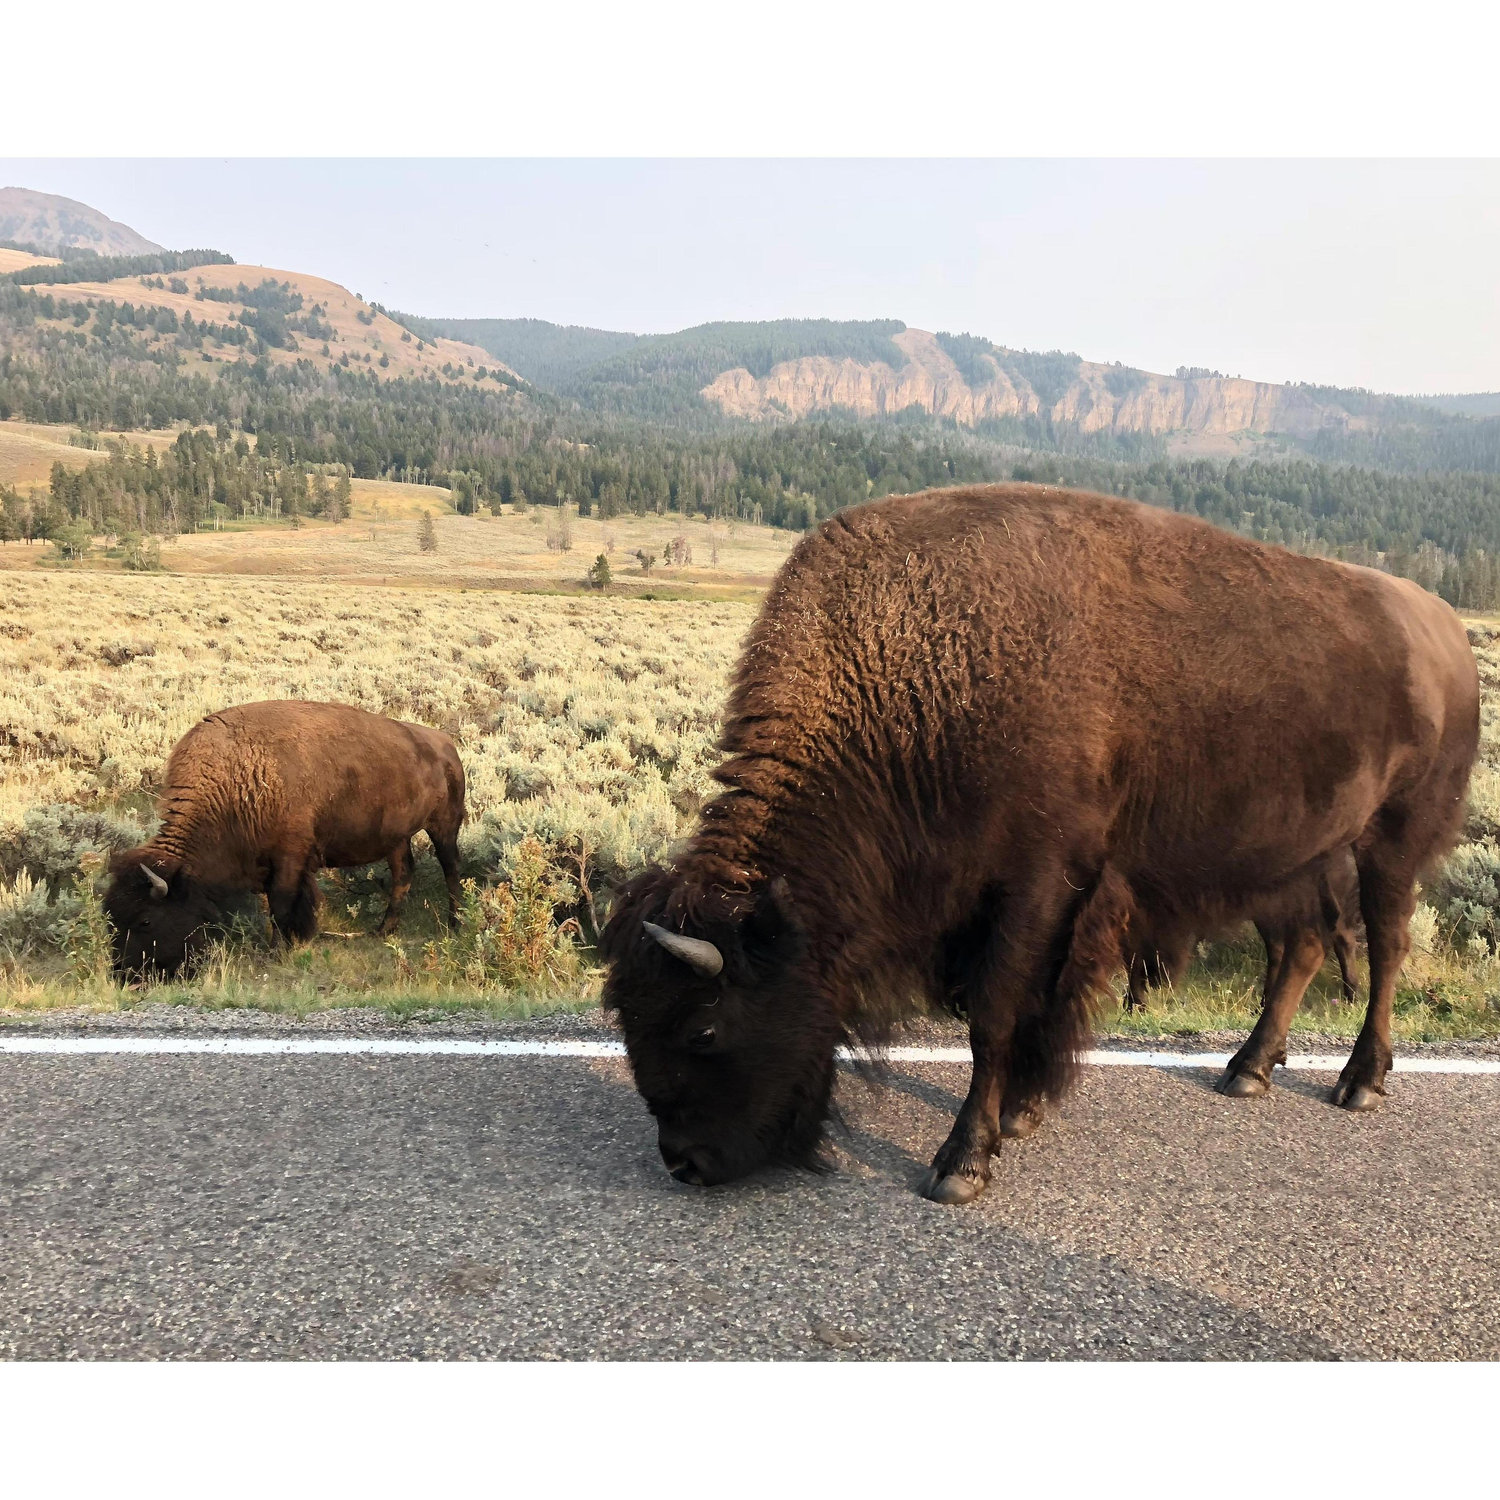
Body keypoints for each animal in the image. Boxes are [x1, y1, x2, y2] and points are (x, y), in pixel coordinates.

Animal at [105, 700, 465, 978]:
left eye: (145, 920)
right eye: (110, 917)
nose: (124, 974)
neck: (235, 779)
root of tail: (445, 743)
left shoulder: (290, 859)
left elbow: (281, 904)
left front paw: (279, 950)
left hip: (444, 825)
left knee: (451, 869)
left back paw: (455, 923)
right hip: (396, 837)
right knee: (403, 873)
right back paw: (383, 930)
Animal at [601, 484, 1478, 1204]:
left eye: (703, 1028)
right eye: (626, 1020)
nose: (686, 1163)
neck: (920, 683)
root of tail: (1446, 630)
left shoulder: (1035, 884)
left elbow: (995, 1015)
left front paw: (962, 1164)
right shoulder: (1066, 897)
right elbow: (1042, 1006)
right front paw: (1020, 1116)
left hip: (1391, 844)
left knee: (1388, 947)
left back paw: (1359, 1084)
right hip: (1291, 859)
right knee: (1297, 949)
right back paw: (1247, 1071)